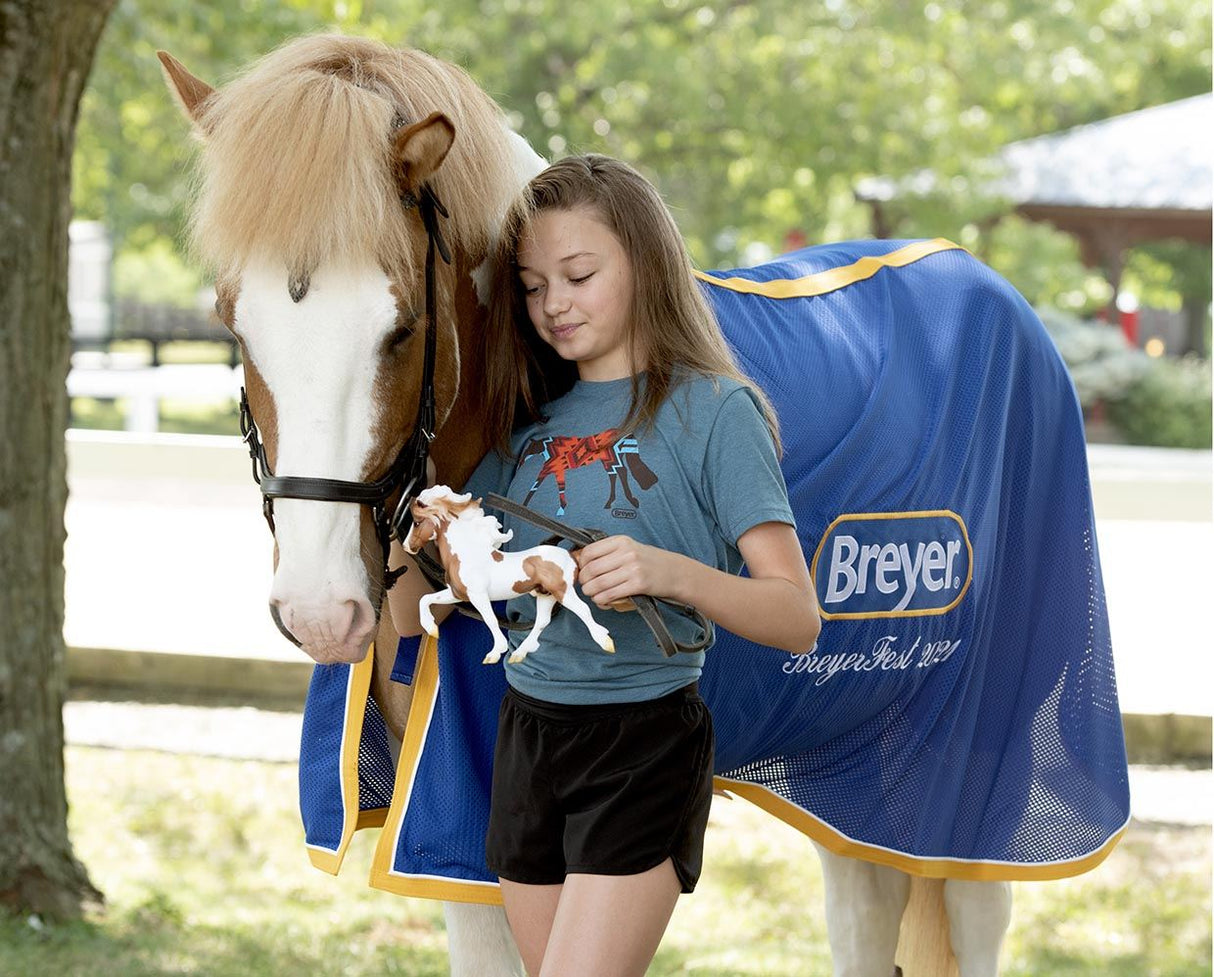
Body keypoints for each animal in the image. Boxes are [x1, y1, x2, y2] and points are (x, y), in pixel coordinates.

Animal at [159, 32, 1126, 975]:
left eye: (399, 329)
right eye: (234, 325)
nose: (320, 610)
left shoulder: (471, 823)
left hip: (969, 773)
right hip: (856, 763)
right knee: (864, 901)